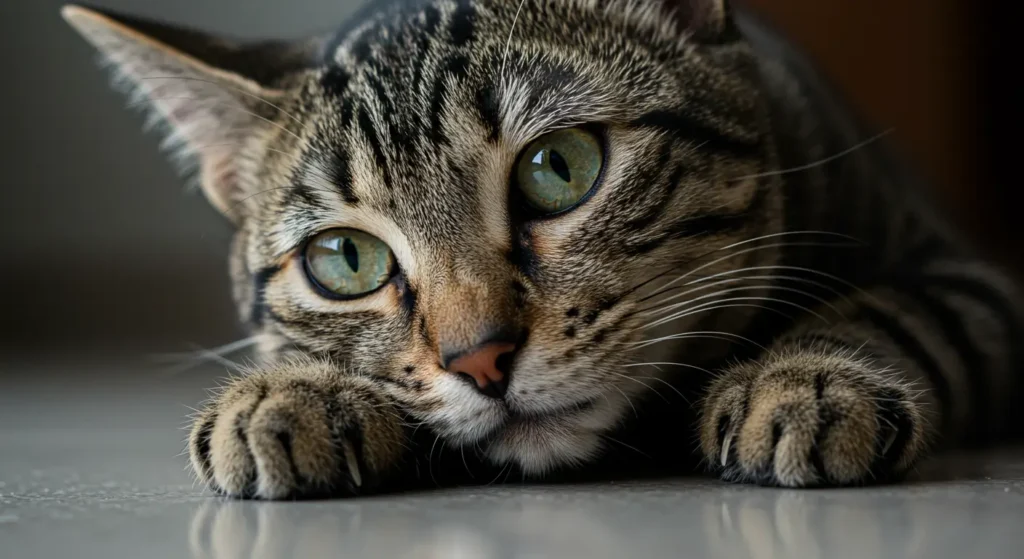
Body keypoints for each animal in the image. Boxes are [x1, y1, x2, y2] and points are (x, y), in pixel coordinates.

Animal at [66, 0, 1024, 495]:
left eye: (559, 167)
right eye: (346, 260)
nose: (480, 358)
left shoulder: (973, 280)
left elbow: (896, 306)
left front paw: (806, 377)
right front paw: (288, 393)